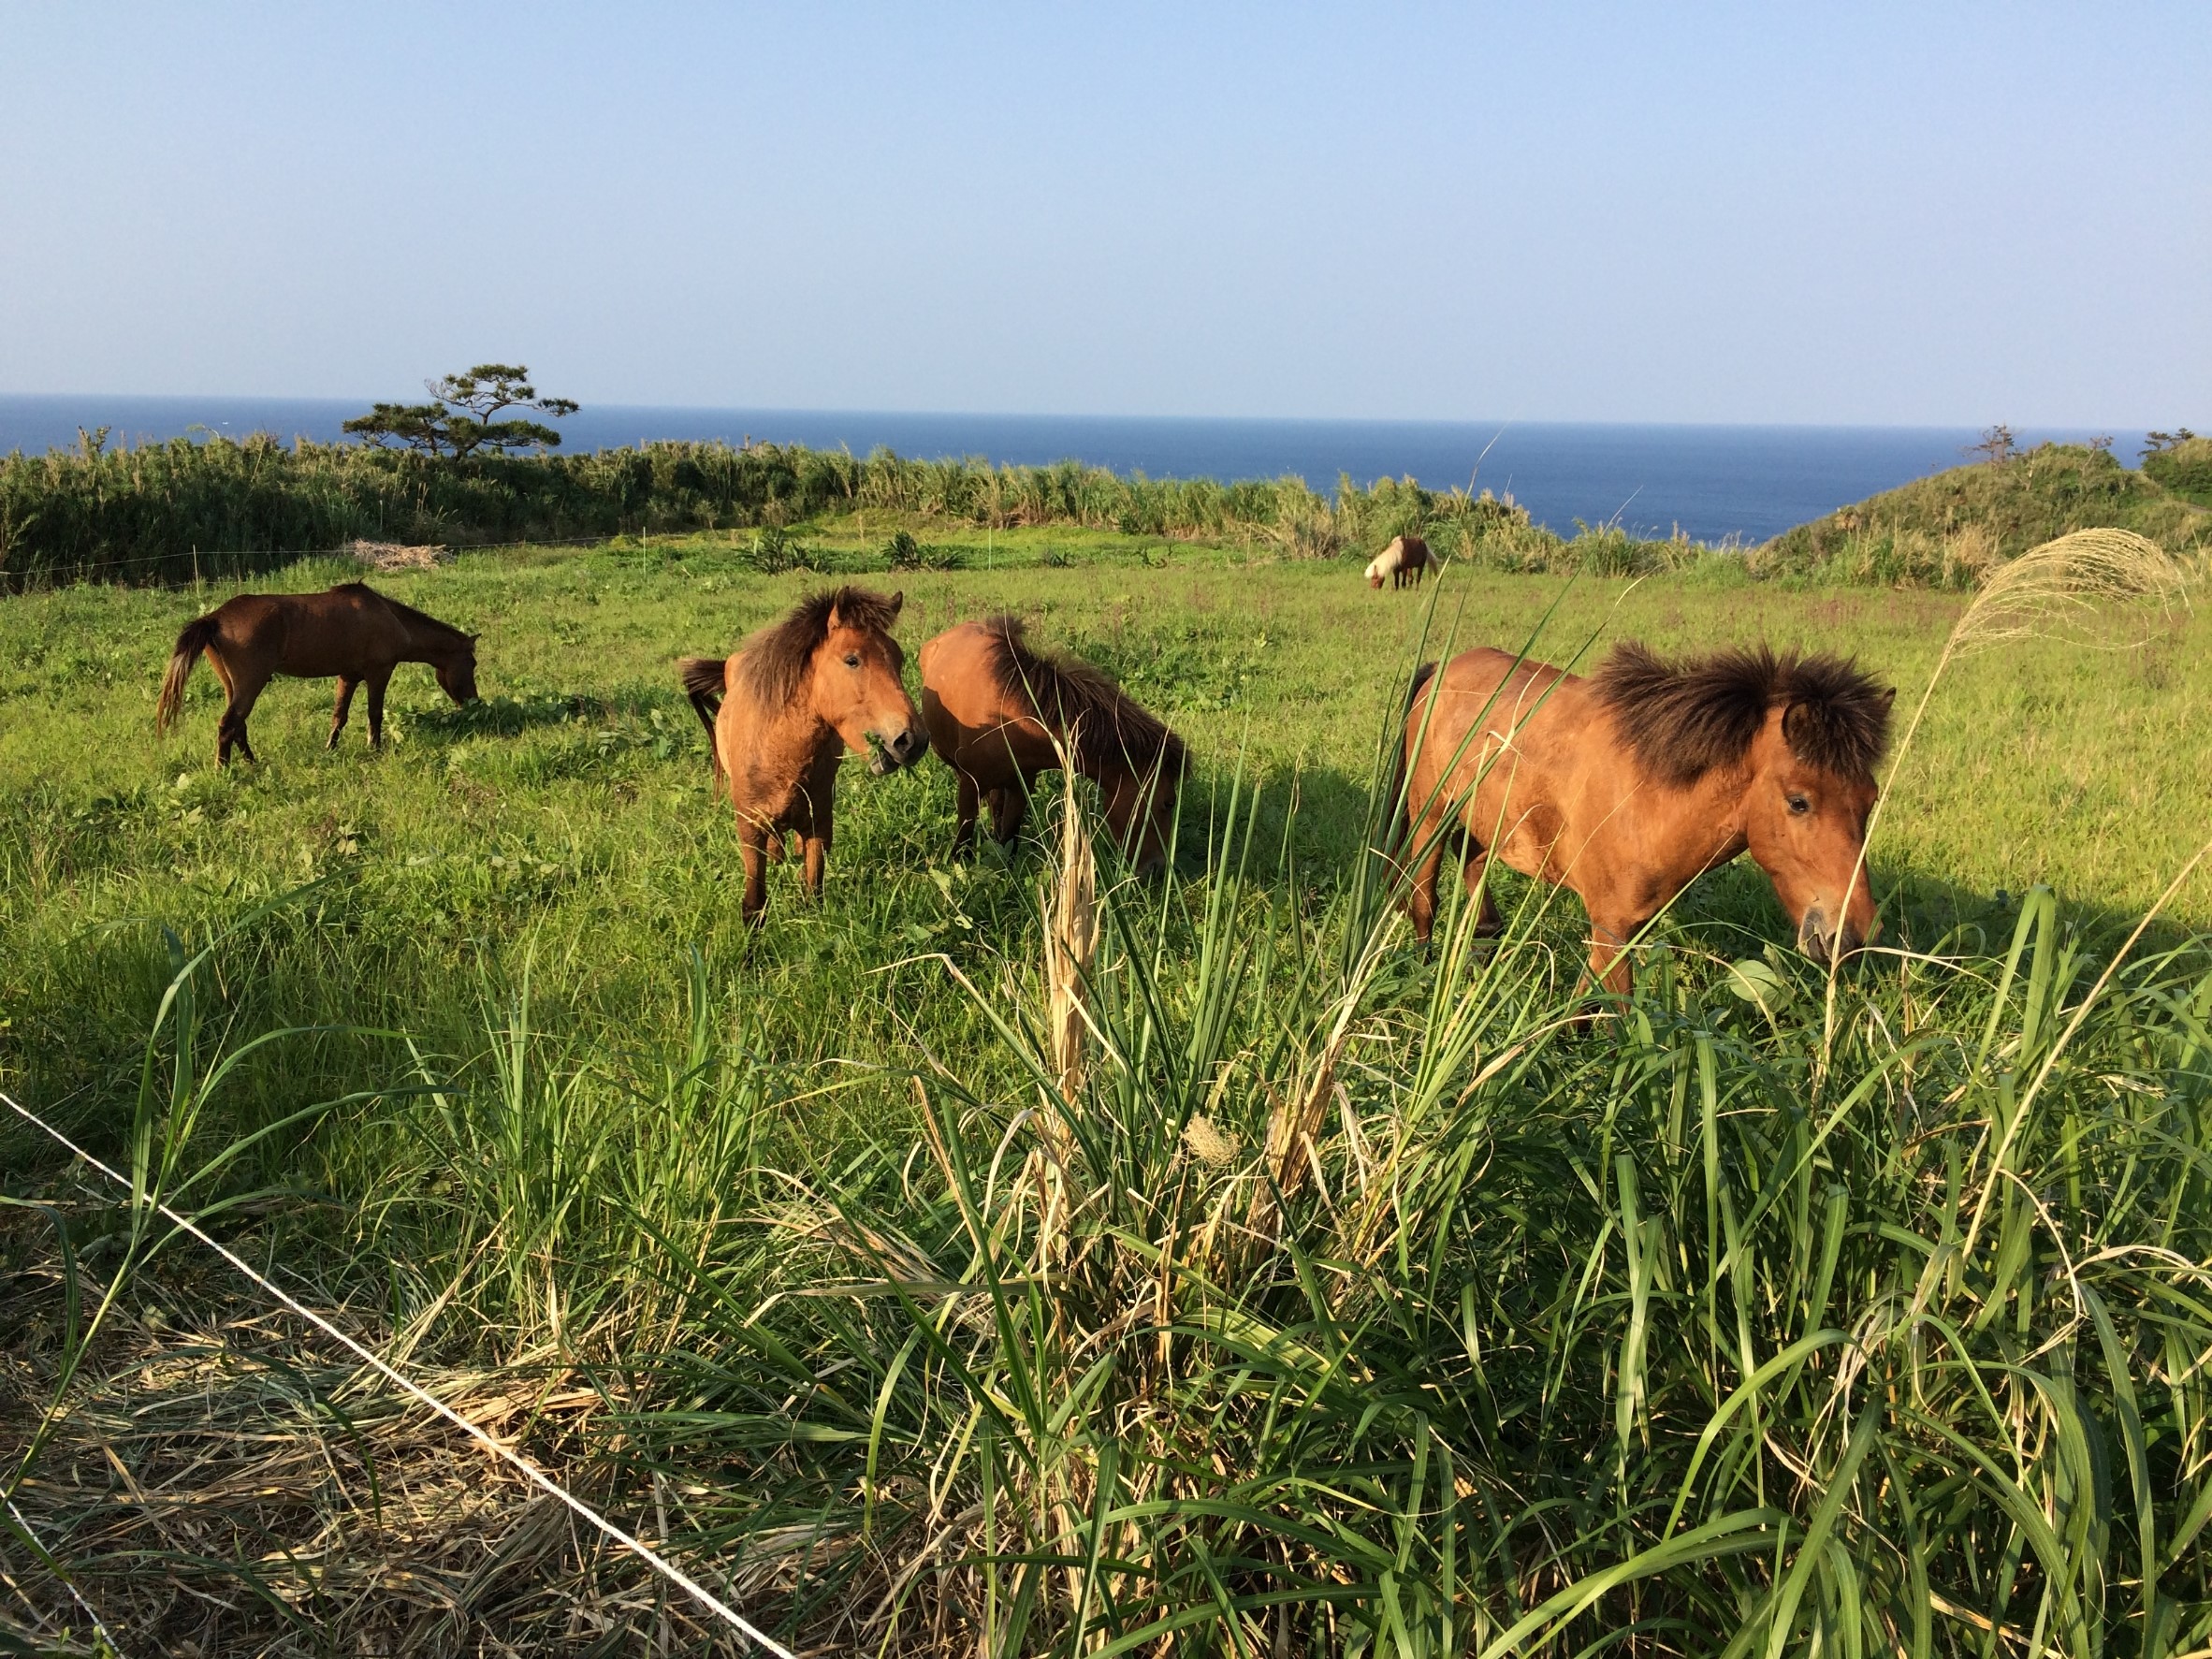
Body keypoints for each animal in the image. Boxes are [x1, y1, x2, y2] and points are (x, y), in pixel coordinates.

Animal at [156, 584, 484, 764]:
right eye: (472, 663)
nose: (475, 703)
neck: (390, 616)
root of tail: (215, 618)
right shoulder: (379, 673)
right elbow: (374, 714)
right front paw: (374, 748)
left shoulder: (348, 676)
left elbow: (339, 716)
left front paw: (330, 749)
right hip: (251, 683)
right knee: (228, 725)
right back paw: (223, 770)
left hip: (231, 685)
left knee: (239, 727)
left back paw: (252, 762)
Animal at [667, 584, 920, 924]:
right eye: (852, 660)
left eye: (899, 657)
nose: (911, 739)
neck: (778, 754)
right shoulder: (750, 830)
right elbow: (754, 903)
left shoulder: (819, 824)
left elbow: (812, 891)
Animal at [920, 610, 1194, 871]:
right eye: (1169, 802)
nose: (1159, 868)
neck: (1010, 715)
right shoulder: (970, 787)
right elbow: (963, 840)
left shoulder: (1021, 786)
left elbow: (1009, 839)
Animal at [1398, 641, 1902, 995]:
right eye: (1799, 802)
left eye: (1870, 798)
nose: (1856, 933)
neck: (1651, 795)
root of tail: (1443, 670)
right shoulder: (1611, 928)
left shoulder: (1624, 930)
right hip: (1429, 819)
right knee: (1424, 899)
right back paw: (1423, 973)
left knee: (1472, 865)